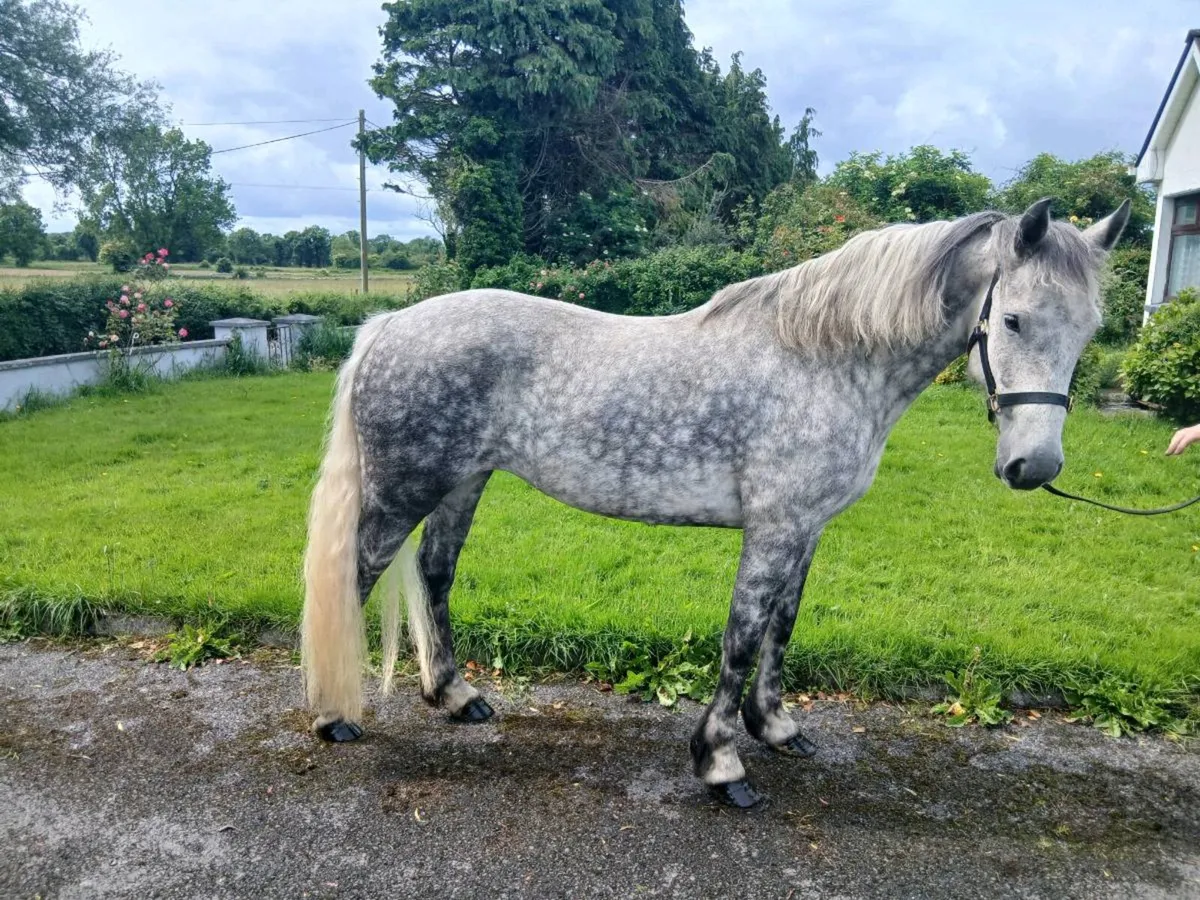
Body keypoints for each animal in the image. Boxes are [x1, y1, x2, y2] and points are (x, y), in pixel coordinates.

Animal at [300, 197, 1131, 808]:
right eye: (1014, 318)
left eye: (1088, 330)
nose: (1034, 465)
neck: (827, 360)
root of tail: (387, 326)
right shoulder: (773, 528)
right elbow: (741, 634)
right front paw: (722, 763)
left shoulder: (806, 529)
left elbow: (783, 628)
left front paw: (777, 727)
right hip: (405, 490)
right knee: (355, 577)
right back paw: (334, 716)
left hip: (463, 483)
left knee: (435, 574)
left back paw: (456, 696)